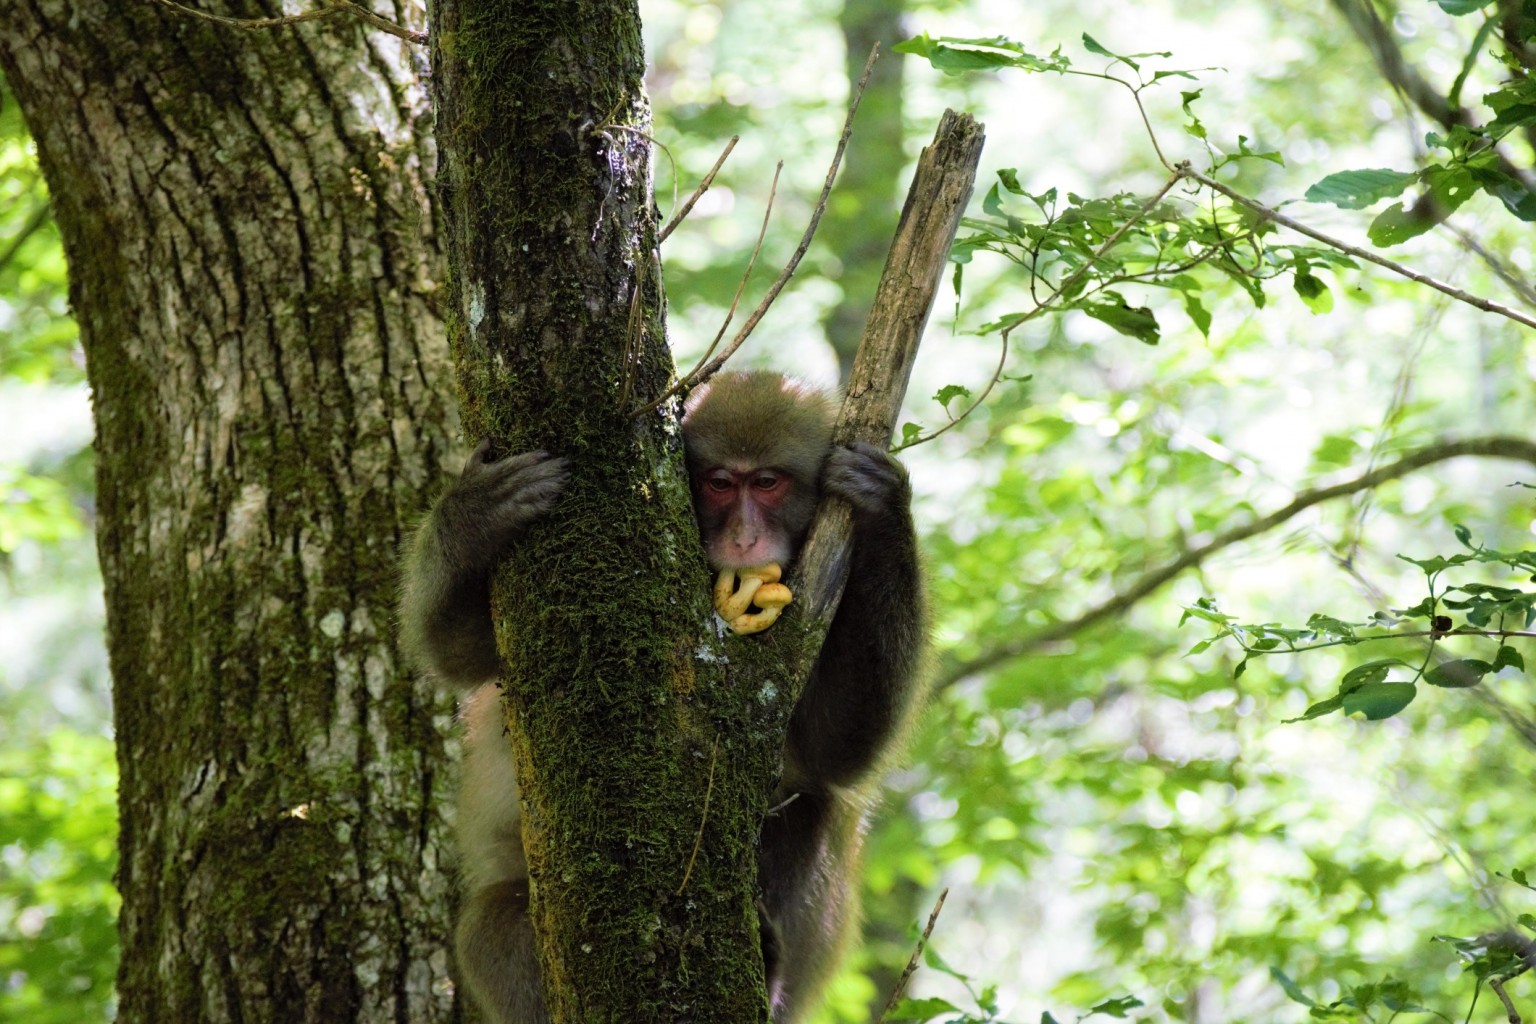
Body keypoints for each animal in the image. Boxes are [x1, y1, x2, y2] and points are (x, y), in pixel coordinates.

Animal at [396, 373, 921, 1019]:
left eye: (767, 482)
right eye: (720, 483)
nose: (745, 538)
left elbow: (835, 752)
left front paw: (883, 511)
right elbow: (455, 653)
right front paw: (471, 516)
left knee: (815, 805)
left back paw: (771, 971)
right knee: (488, 927)